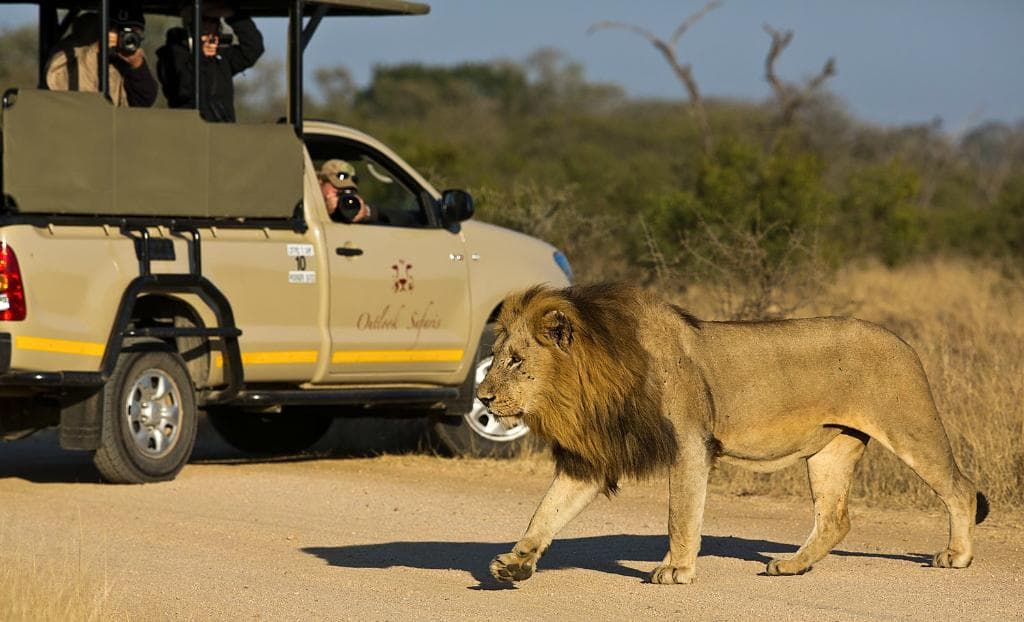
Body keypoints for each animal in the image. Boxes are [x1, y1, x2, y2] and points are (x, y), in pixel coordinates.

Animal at [478, 282, 988, 584]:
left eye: (516, 361)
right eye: (498, 355)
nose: (482, 397)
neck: (590, 389)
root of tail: (903, 341)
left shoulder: (689, 444)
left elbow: (681, 515)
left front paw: (676, 570)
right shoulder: (593, 459)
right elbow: (545, 513)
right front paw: (516, 563)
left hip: (910, 427)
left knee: (961, 489)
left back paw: (956, 556)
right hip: (831, 449)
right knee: (834, 518)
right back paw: (791, 565)